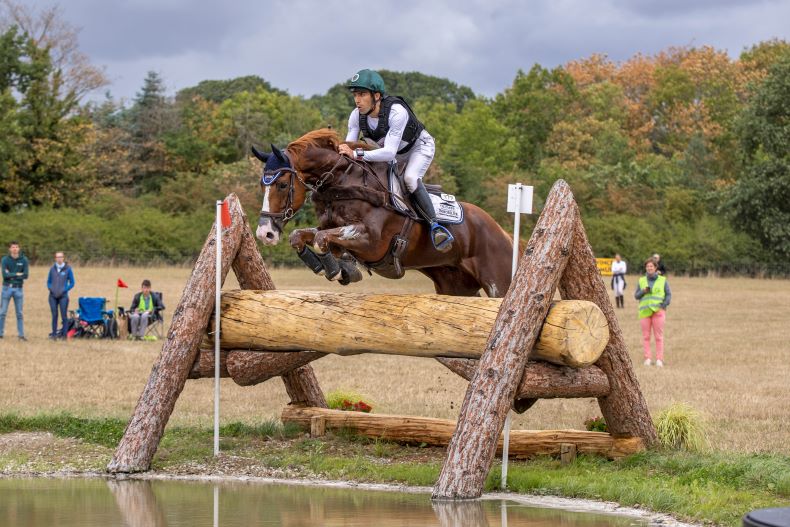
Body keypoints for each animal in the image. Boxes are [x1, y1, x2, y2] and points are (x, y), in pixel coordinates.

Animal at [252, 129, 512, 296]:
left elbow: (321, 238)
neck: (343, 180)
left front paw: (336, 270)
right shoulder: (334, 228)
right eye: (262, 185)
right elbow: (303, 236)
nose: (265, 233)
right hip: (455, 285)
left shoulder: (372, 241)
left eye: (282, 185)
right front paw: (337, 267)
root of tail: (503, 233)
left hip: (498, 282)